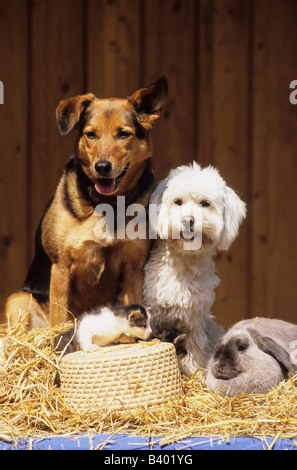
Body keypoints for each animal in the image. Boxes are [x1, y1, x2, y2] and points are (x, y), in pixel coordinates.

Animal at [4, 76, 168, 326]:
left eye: (124, 134)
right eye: (91, 134)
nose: (102, 167)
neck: (107, 204)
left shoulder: (134, 268)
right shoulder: (61, 268)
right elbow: (60, 320)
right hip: (18, 300)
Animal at [143, 163, 245, 376]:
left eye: (204, 204)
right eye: (178, 202)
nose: (188, 220)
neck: (184, 261)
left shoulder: (193, 319)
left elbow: (195, 350)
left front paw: (194, 372)